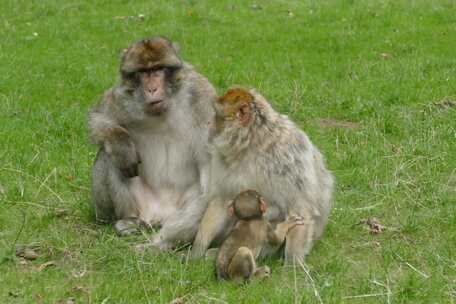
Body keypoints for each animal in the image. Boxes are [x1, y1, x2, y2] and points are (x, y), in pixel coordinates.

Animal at [90, 36, 218, 248]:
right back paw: (129, 220)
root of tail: (160, 215)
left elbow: (213, 176)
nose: (152, 88)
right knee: (108, 156)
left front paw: (162, 243)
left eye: (158, 69)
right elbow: (99, 117)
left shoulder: (202, 96)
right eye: (143, 72)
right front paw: (121, 146)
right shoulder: (123, 95)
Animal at [192, 88, 334, 264]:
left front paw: (293, 264)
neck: (254, 144)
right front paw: (197, 250)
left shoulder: (288, 159)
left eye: (217, 116)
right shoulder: (224, 158)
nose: (208, 125)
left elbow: (300, 206)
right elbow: (223, 199)